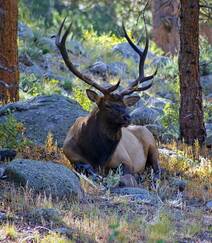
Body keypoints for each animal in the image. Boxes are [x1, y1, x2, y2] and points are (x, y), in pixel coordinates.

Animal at [55, 17, 160, 184]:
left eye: (125, 105)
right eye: (107, 105)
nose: (127, 117)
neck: (99, 157)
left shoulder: (125, 160)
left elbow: (126, 174)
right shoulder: (71, 155)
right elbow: (87, 168)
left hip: (152, 144)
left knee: (157, 169)